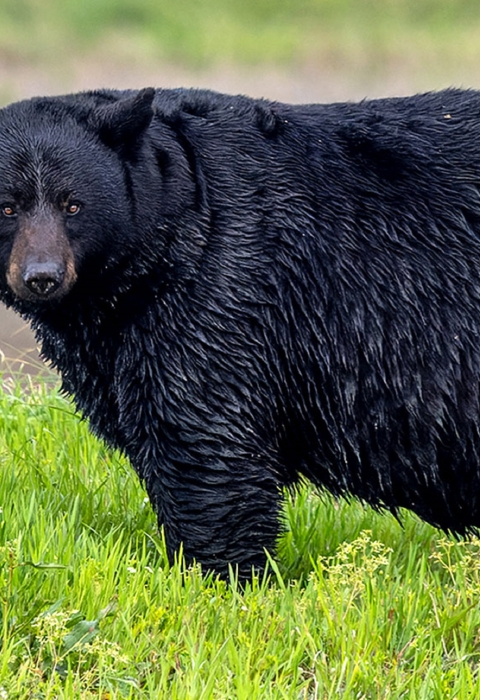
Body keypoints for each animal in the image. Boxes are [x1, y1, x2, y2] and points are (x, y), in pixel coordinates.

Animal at [1, 85, 480, 579]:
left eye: (73, 204)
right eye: (8, 207)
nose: (42, 277)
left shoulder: (222, 290)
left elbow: (204, 437)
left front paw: (220, 576)